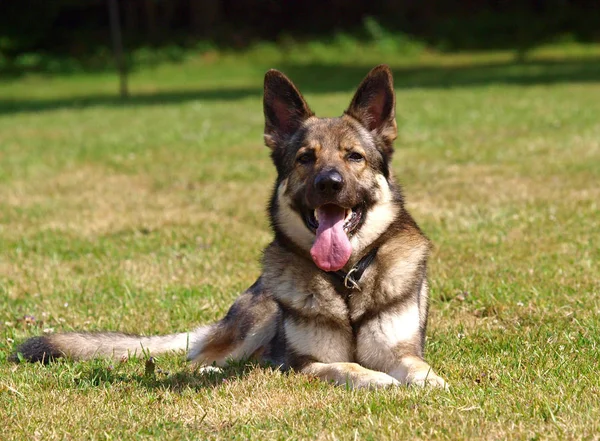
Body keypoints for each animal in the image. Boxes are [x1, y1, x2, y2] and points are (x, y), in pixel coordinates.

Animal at [12, 65, 446, 388]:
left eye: (354, 156)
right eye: (306, 158)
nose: (329, 183)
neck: (344, 281)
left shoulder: (401, 352)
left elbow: (417, 368)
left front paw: (430, 382)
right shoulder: (305, 363)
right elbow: (348, 367)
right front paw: (376, 379)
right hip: (258, 320)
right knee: (201, 357)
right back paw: (215, 366)